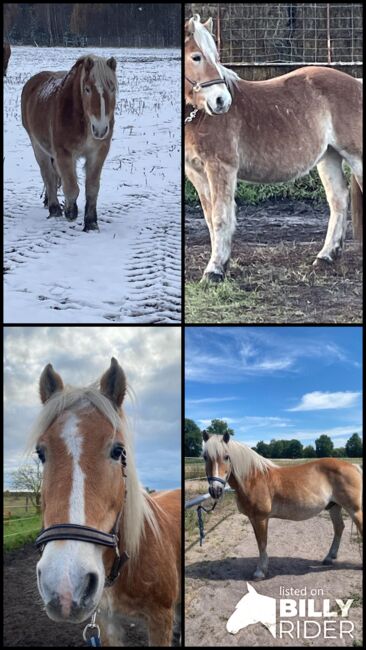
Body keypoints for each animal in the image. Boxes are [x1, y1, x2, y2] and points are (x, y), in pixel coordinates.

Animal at [21, 54, 116, 230]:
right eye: (87, 89)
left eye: (112, 89)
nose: (100, 129)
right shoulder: (64, 154)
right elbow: (71, 187)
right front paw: (70, 211)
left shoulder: (98, 153)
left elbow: (92, 188)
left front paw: (91, 223)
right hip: (38, 147)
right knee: (48, 177)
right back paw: (54, 209)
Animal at [186, 15, 364, 280]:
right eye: (196, 56)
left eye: (214, 56)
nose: (221, 101)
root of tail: (358, 84)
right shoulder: (196, 171)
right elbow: (209, 218)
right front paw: (221, 264)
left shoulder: (221, 167)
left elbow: (220, 217)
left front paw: (214, 270)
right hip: (329, 156)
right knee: (338, 199)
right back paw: (325, 256)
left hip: (356, 156)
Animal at [203, 430, 364, 576]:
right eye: (205, 457)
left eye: (226, 457)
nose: (215, 490)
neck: (254, 478)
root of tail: (353, 466)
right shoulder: (253, 518)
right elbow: (259, 542)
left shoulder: (261, 518)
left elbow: (262, 543)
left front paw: (260, 571)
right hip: (334, 507)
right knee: (339, 528)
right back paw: (329, 558)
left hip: (354, 509)